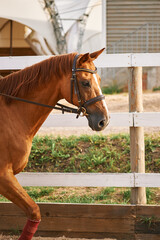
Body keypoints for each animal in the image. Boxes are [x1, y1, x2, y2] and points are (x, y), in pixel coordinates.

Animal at [0, 49, 109, 240]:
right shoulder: (4, 176)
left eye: (99, 80)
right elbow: (34, 210)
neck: (10, 116)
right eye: (86, 83)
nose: (104, 121)